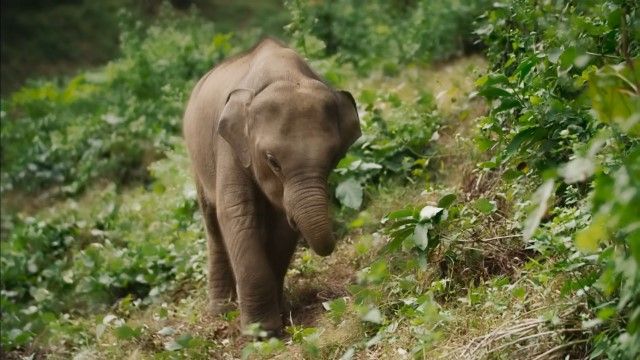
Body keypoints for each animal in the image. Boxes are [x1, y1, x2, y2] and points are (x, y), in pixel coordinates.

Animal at [182, 37, 362, 334]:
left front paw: (279, 317)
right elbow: (236, 213)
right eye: (272, 160)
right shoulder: (229, 147)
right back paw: (221, 309)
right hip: (197, 160)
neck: (283, 73)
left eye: (334, 157)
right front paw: (261, 333)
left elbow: (281, 228)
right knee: (213, 225)